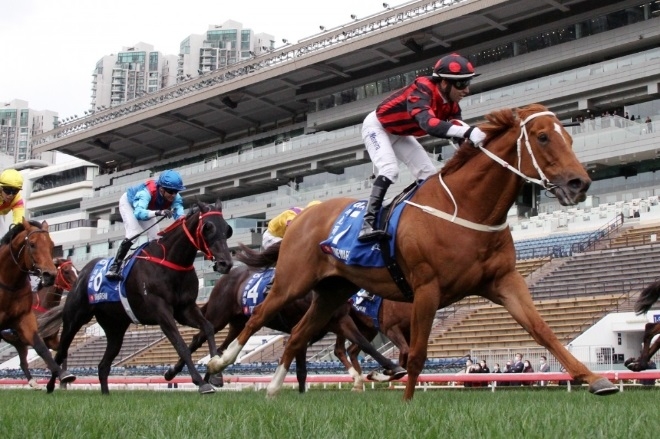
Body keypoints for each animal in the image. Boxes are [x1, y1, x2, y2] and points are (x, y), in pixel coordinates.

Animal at [0, 220, 75, 384]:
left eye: (52, 245)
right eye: (32, 244)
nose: (49, 275)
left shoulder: (25, 320)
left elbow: (43, 348)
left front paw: (64, 376)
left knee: (22, 360)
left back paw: (33, 382)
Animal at [42, 200, 235, 396]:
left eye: (227, 229)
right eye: (207, 227)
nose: (225, 263)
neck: (170, 262)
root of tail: (82, 273)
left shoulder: (185, 309)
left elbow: (208, 328)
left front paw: (216, 374)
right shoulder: (162, 312)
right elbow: (181, 345)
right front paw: (201, 382)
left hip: (115, 328)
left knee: (103, 365)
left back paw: (105, 393)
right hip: (74, 319)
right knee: (61, 352)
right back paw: (54, 384)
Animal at [210, 105, 620, 400]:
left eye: (570, 136)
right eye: (543, 137)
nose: (579, 183)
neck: (468, 209)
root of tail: (301, 218)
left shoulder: (503, 281)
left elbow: (543, 331)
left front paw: (595, 380)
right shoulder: (425, 289)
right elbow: (417, 353)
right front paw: (407, 403)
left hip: (332, 293)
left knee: (296, 335)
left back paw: (273, 389)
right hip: (293, 282)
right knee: (257, 316)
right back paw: (219, 362)